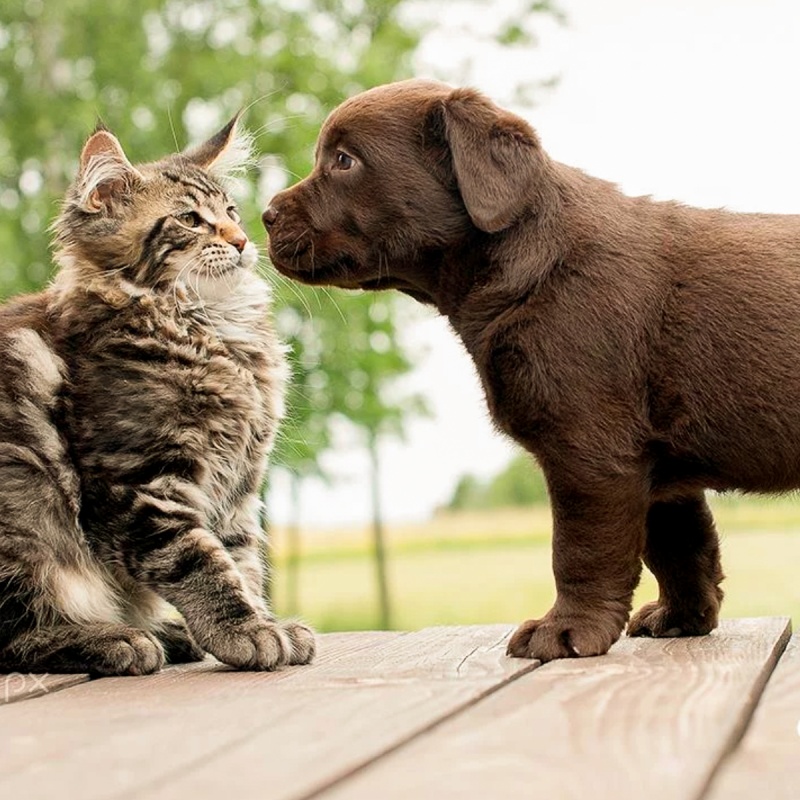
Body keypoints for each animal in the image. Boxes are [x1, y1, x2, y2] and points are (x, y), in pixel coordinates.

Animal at [0, 115, 316, 672]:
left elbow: (241, 559)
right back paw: (114, 639)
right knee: (15, 635)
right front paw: (244, 630)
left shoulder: (236, 488)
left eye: (230, 212)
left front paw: (263, 621)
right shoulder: (141, 483)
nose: (242, 240)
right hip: (24, 506)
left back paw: (166, 632)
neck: (206, 326)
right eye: (190, 219)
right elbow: (198, 561)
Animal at [264, 79, 800, 664]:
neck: (526, 259)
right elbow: (679, 543)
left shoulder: (591, 450)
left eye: (344, 160)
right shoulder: (655, 462)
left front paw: (565, 630)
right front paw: (681, 618)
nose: (264, 214)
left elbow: (580, 550)